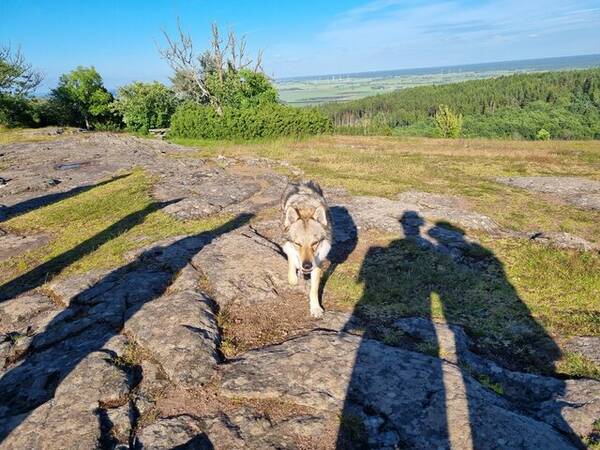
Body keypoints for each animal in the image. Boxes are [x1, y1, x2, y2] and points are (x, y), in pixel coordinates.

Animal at [282, 178, 332, 316]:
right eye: (297, 244)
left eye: (314, 243)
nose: (307, 265)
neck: (305, 208)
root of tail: (300, 181)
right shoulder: (289, 246)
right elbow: (292, 262)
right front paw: (294, 277)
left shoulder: (318, 261)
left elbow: (314, 289)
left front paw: (315, 308)